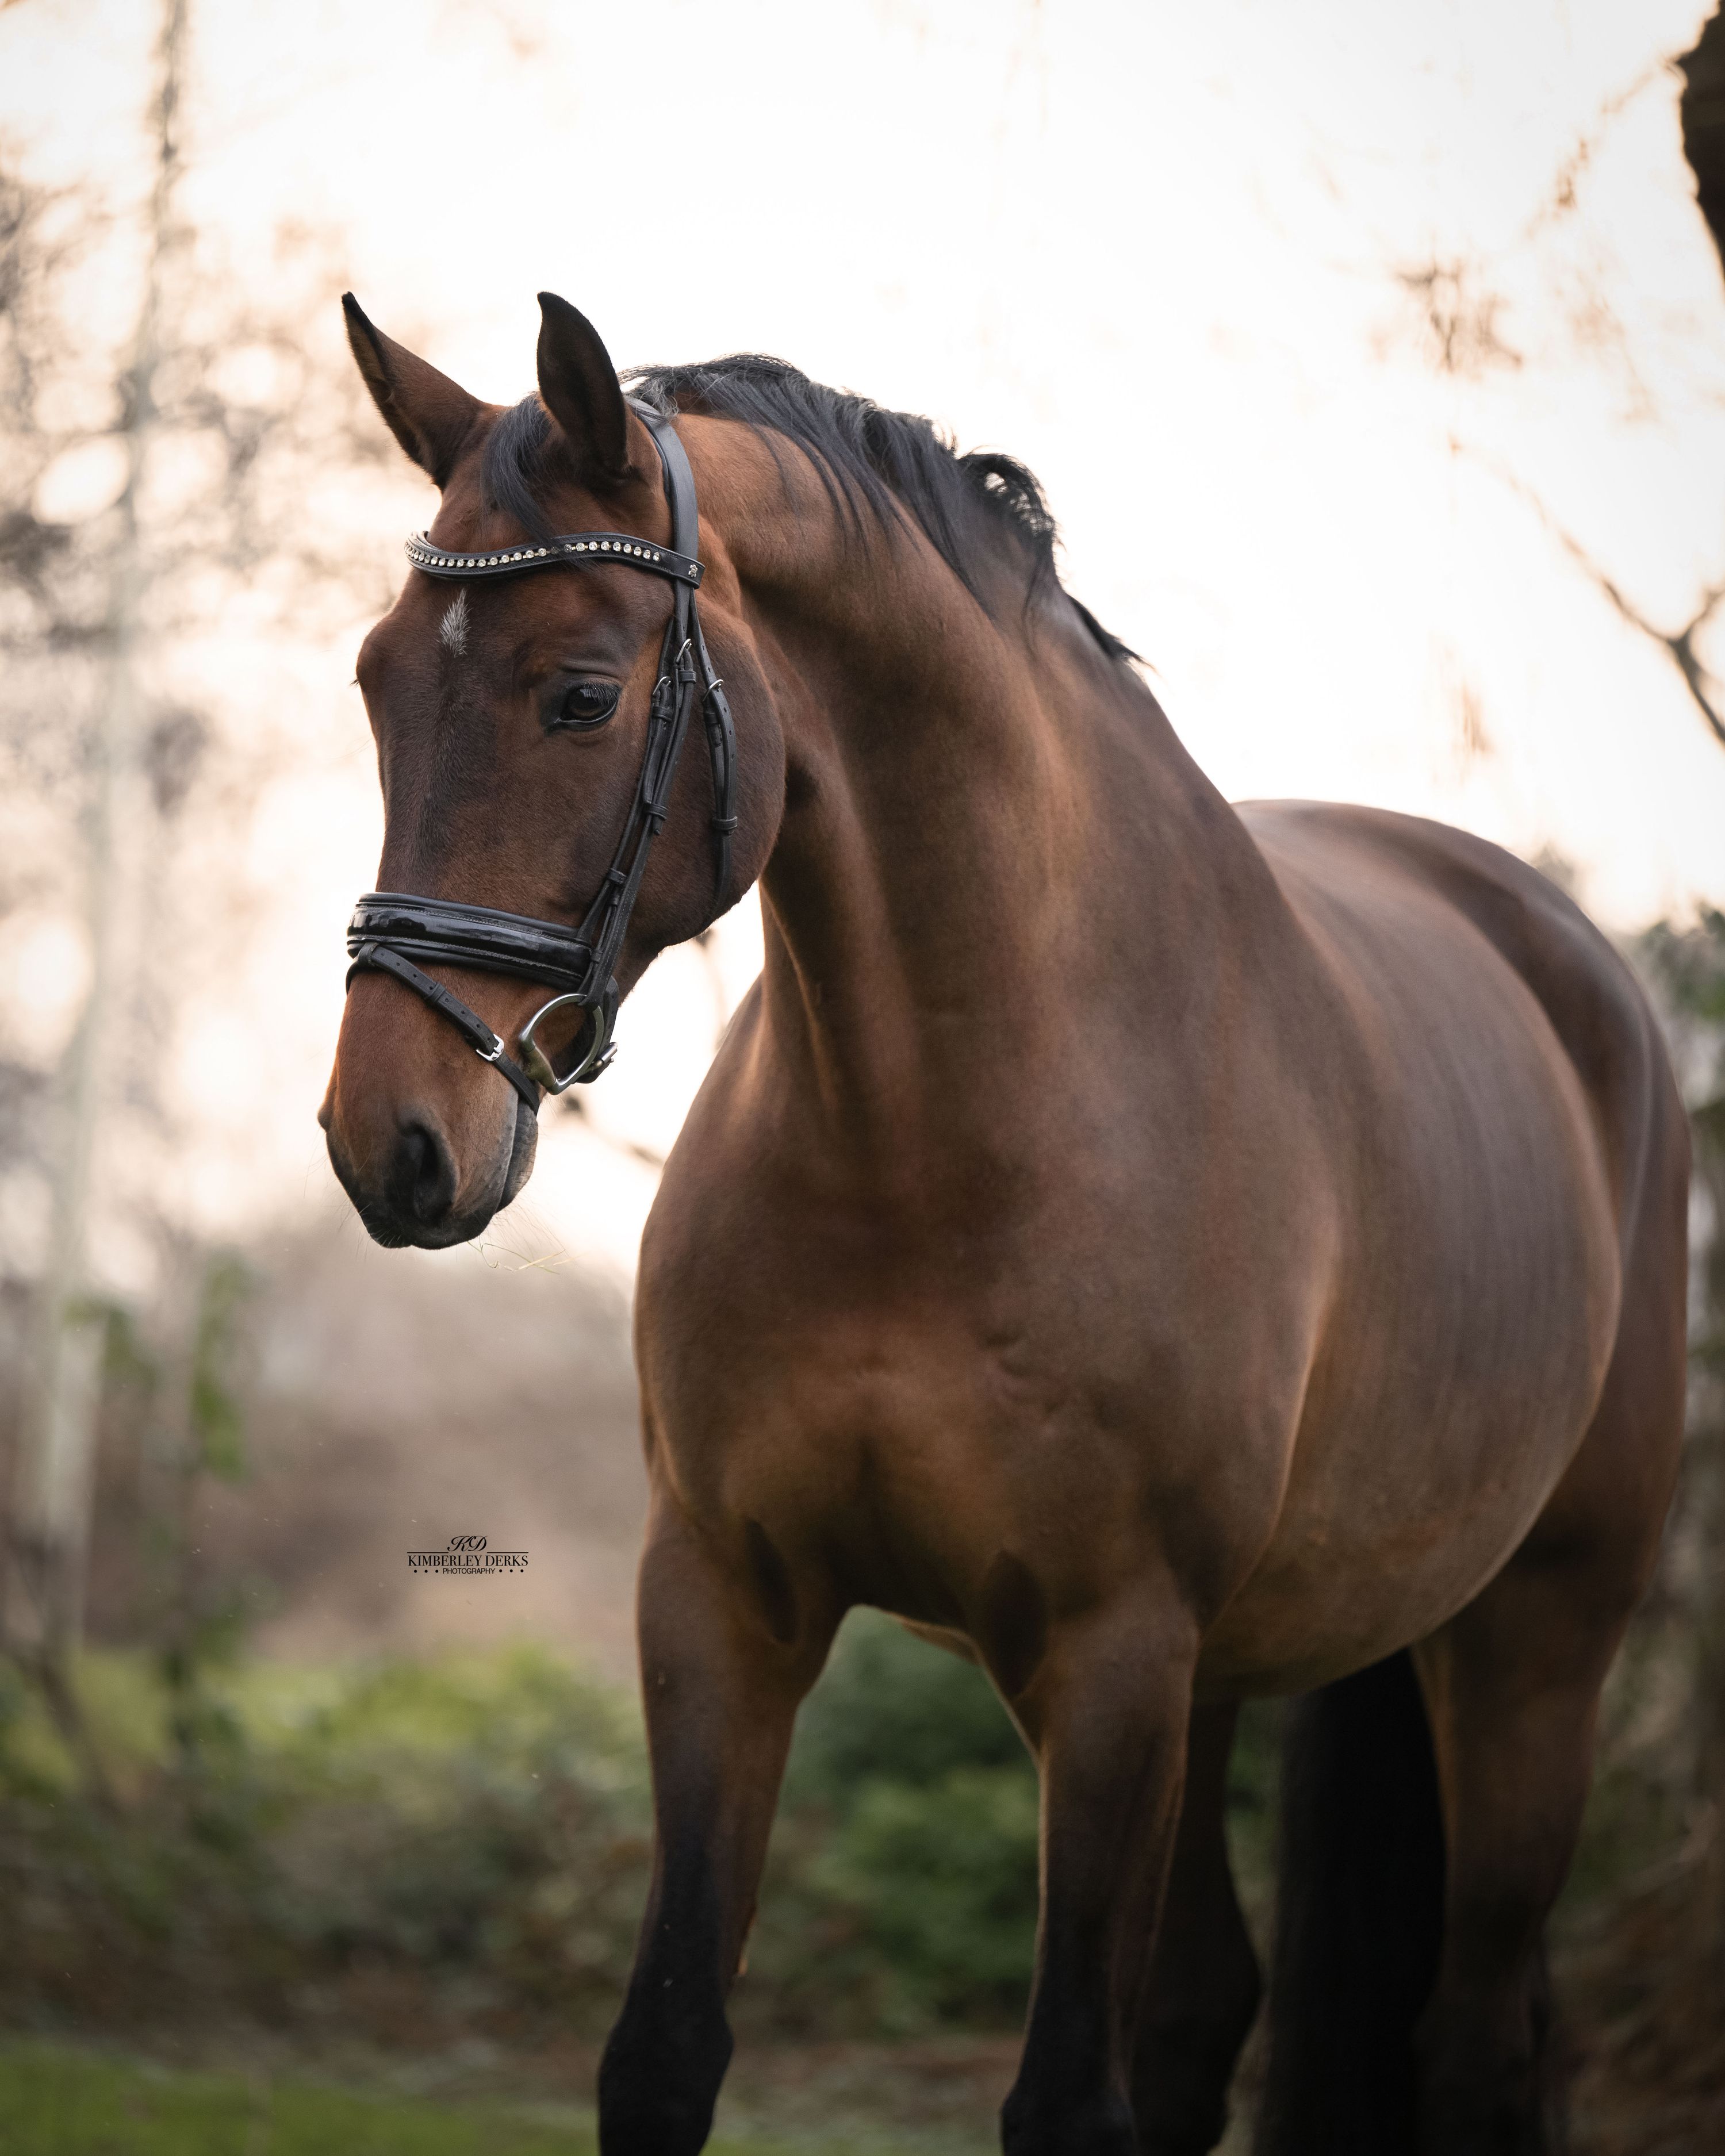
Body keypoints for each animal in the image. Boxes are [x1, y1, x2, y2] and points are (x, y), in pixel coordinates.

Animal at [321, 291, 1690, 2156]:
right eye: (377, 679)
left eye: (580, 695)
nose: (387, 1140)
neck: (941, 1138)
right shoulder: (724, 1602)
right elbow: (664, 2044)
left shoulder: (1111, 1655)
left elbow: (1058, 2098)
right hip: (1236, 1673)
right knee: (1209, 2008)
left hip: (1528, 1641)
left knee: (1480, 2038)